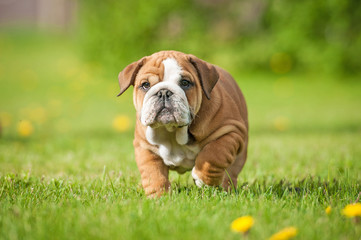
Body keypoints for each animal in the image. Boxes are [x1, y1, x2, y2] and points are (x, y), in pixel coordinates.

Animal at [118, 50, 248, 197]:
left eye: (185, 83)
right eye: (145, 85)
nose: (164, 92)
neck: (172, 131)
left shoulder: (231, 131)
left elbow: (214, 154)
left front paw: (203, 179)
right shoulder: (145, 147)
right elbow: (153, 173)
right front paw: (158, 196)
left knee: (230, 173)